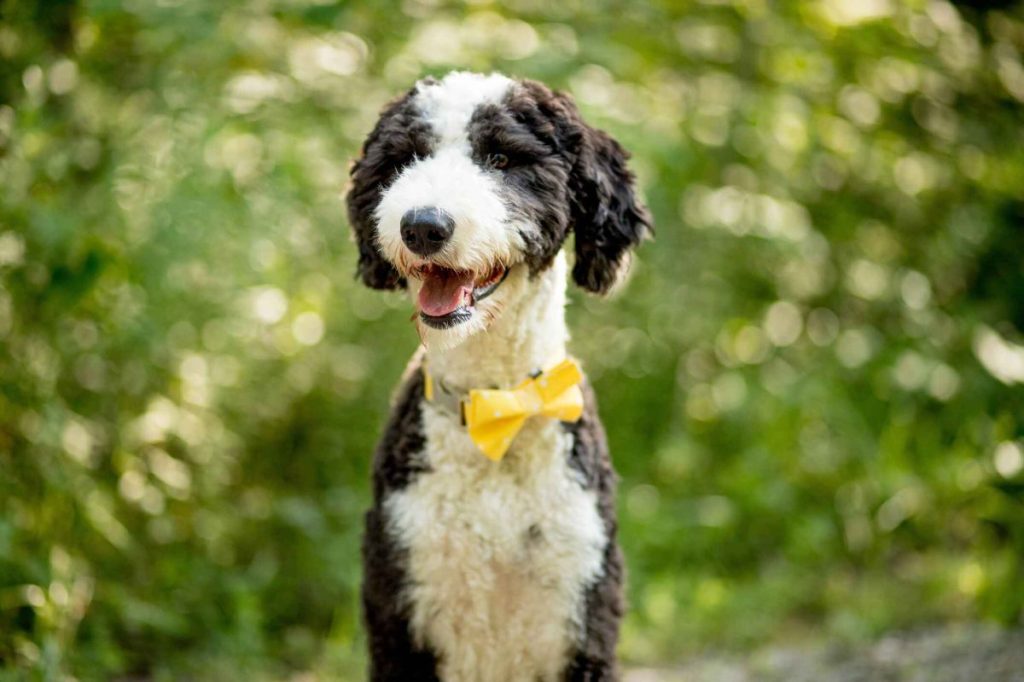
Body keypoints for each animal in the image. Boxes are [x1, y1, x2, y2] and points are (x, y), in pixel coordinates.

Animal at [344, 71, 647, 675]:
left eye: (502, 158)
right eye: (405, 159)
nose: (423, 226)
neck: (496, 403)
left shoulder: (584, 615)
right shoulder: (400, 611)